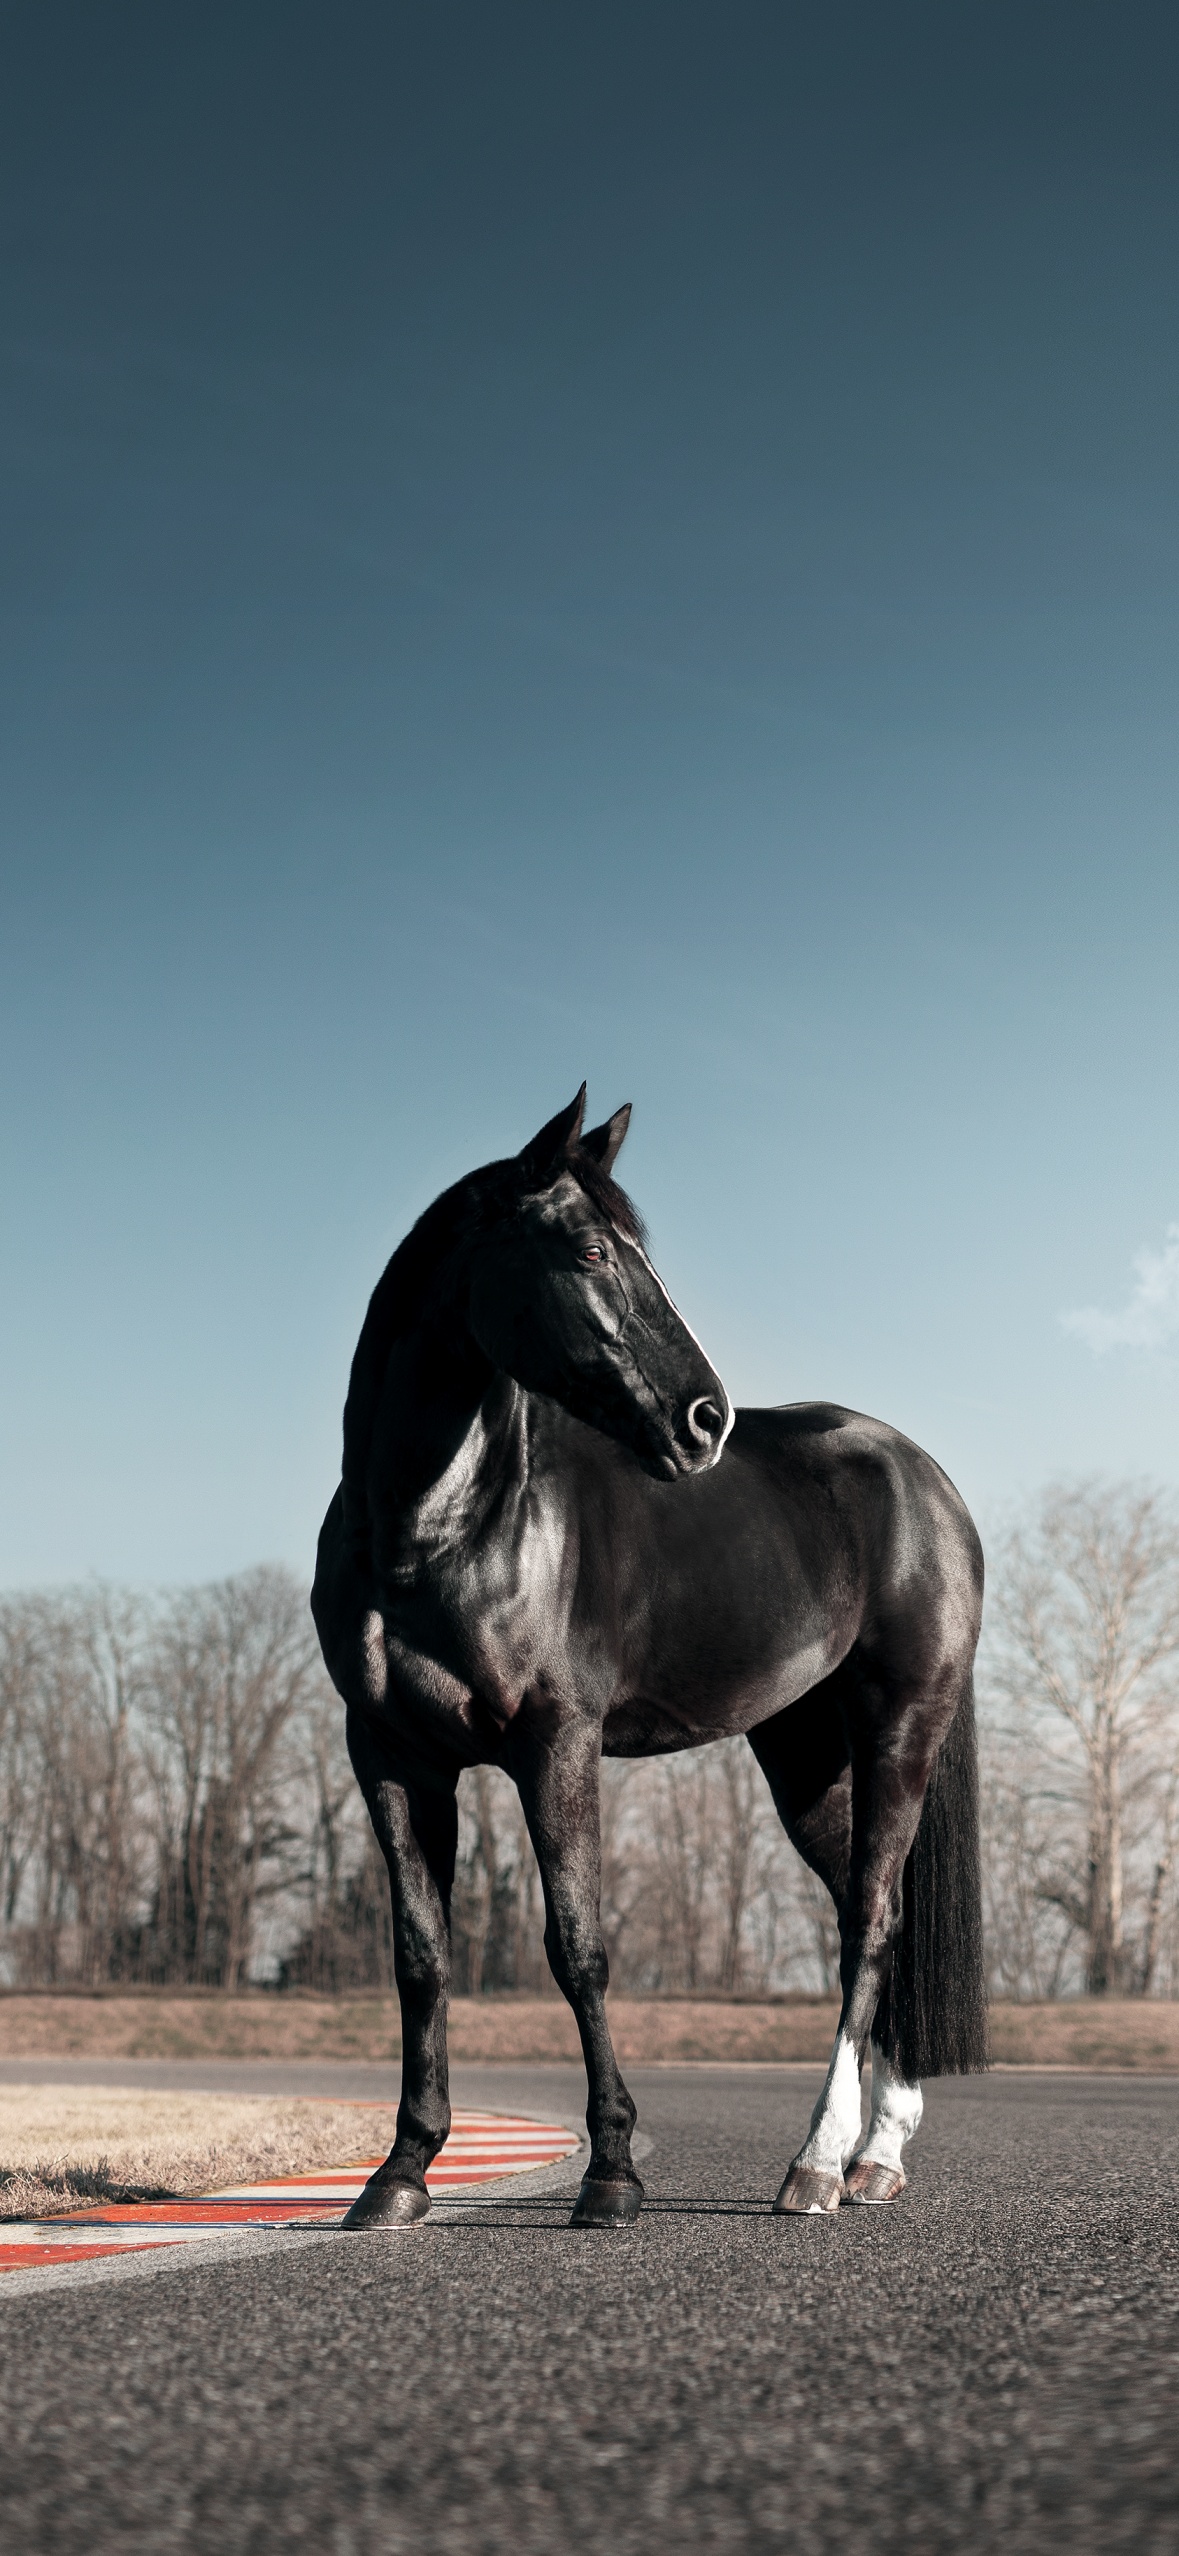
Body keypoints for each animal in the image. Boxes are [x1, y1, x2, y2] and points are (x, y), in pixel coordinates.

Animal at [311, 1088, 986, 2228]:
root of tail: (926, 1477)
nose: (704, 1419)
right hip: (803, 1754)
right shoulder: (392, 1757)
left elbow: (577, 1950)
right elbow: (421, 1958)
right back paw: (876, 2154)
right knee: (872, 1908)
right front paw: (398, 2175)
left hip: (901, 1726)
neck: (436, 1529)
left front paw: (613, 2173)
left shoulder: (557, 1744)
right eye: (588, 1249)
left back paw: (815, 2163)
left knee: (869, 1924)